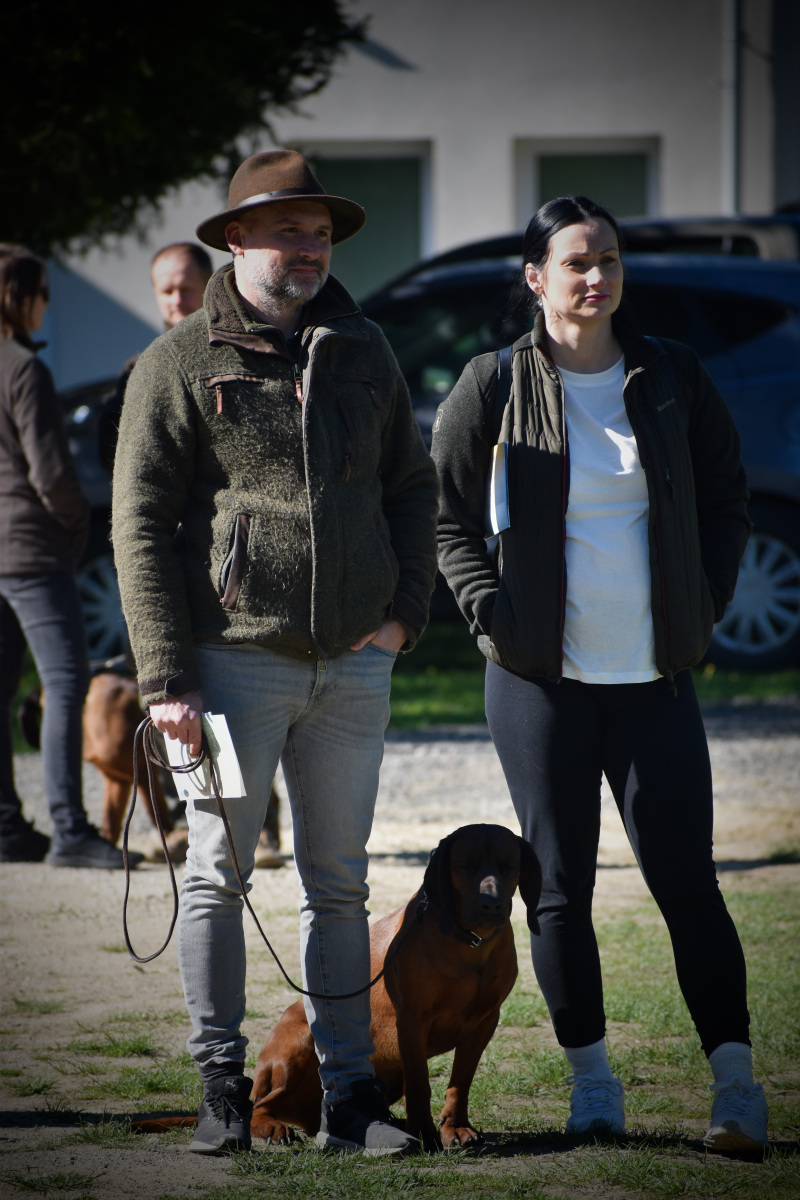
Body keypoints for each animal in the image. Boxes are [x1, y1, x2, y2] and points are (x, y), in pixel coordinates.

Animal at [250, 823, 541, 1150]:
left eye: (509, 867)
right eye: (466, 866)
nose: (490, 903)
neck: (471, 945)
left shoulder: (484, 1022)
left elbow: (460, 1082)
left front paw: (455, 1127)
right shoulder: (412, 1021)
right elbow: (420, 1085)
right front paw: (425, 1133)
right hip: (298, 1045)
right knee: (259, 1106)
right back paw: (271, 1127)